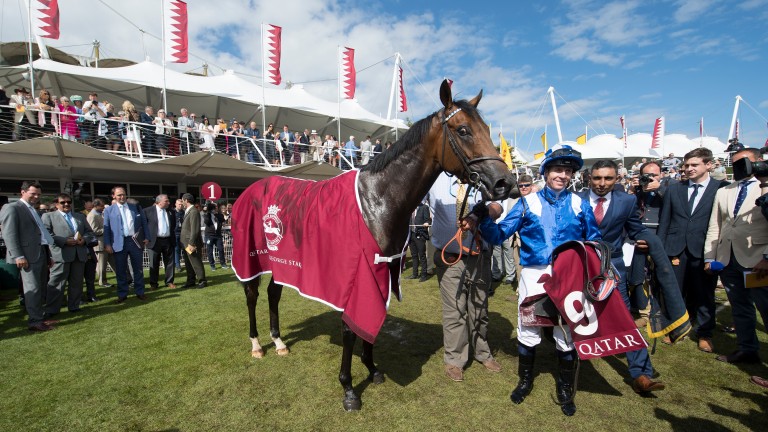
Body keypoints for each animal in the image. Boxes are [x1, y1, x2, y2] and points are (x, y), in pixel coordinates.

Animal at [231, 79, 512, 410]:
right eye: (463, 130)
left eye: (487, 129)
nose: (505, 183)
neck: (377, 200)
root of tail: (249, 190)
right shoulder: (355, 277)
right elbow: (350, 329)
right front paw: (348, 388)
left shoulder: (381, 271)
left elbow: (372, 322)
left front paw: (372, 367)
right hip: (251, 259)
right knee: (252, 296)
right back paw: (257, 345)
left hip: (283, 263)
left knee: (273, 294)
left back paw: (278, 342)